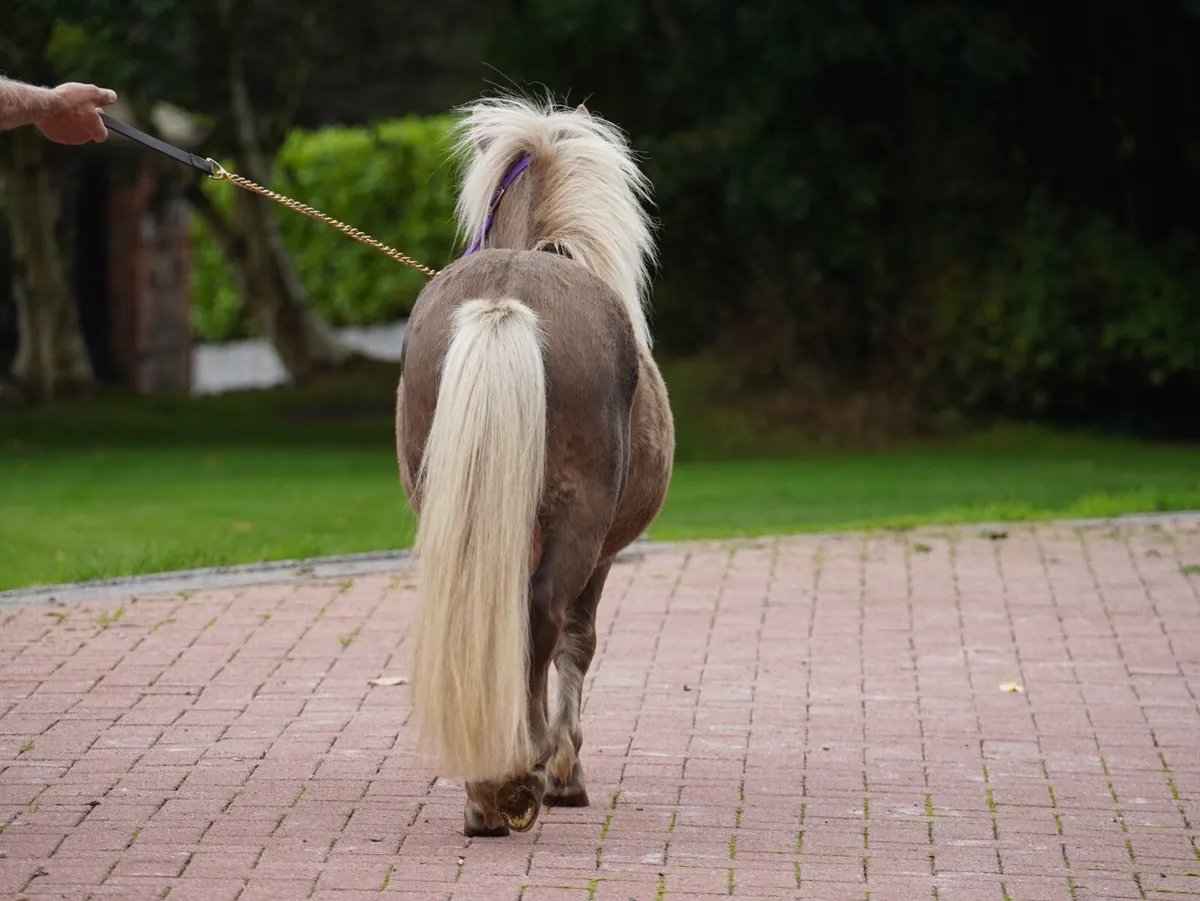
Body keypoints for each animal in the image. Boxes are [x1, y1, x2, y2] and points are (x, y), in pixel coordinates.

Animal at [394, 94, 675, 837]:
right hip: (579, 523)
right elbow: (578, 641)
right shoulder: (602, 554)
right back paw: (520, 773)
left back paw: (485, 790)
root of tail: (506, 297)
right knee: (544, 616)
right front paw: (566, 771)